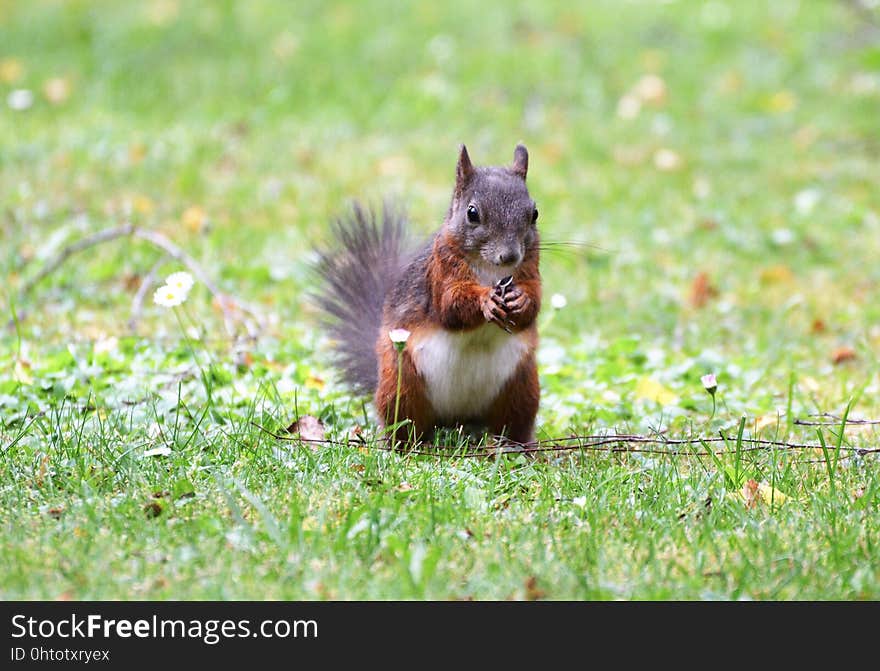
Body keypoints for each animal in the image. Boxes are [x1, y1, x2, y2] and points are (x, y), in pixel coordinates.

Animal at [312, 142, 540, 446]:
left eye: (534, 213)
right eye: (472, 213)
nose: (510, 255)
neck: (491, 272)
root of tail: (456, 420)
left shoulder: (531, 269)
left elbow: (534, 304)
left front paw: (521, 300)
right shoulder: (441, 273)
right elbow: (451, 306)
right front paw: (485, 301)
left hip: (521, 387)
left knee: (513, 423)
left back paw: (517, 446)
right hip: (402, 386)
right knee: (406, 422)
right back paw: (408, 444)